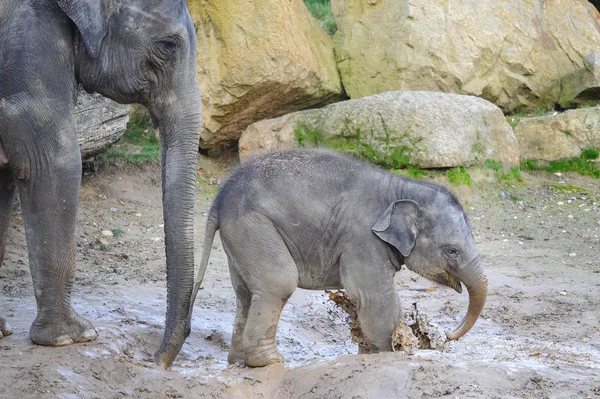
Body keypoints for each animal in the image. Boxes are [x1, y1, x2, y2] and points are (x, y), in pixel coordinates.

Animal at [0, 0, 202, 370]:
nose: (156, 361)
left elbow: (5, 176)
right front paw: (72, 337)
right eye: (168, 45)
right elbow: (56, 163)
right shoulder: (29, 42)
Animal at [188, 148, 488, 368]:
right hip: (253, 226)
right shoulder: (363, 239)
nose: (448, 335)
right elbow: (372, 295)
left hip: (239, 236)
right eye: (452, 250)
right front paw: (394, 352)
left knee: (245, 292)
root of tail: (220, 198)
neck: (403, 189)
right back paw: (269, 361)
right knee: (279, 282)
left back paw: (238, 360)